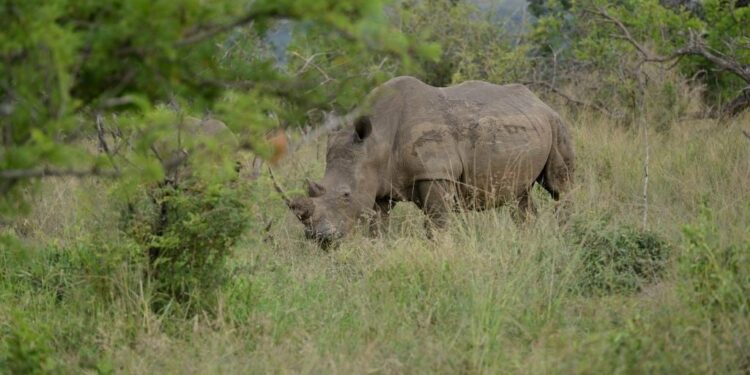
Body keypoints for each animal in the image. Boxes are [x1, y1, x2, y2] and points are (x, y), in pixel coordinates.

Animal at [284, 76, 576, 247]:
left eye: (346, 194)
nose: (319, 237)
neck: (376, 142)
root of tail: (538, 100)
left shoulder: (436, 174)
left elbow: (436, 224)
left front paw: (440, 252)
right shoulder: (378, 185)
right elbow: (378, 225)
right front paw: (379, 249)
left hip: (556, 122)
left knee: (559, 186)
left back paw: (568, 232)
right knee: (520, 196)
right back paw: (529, 239)